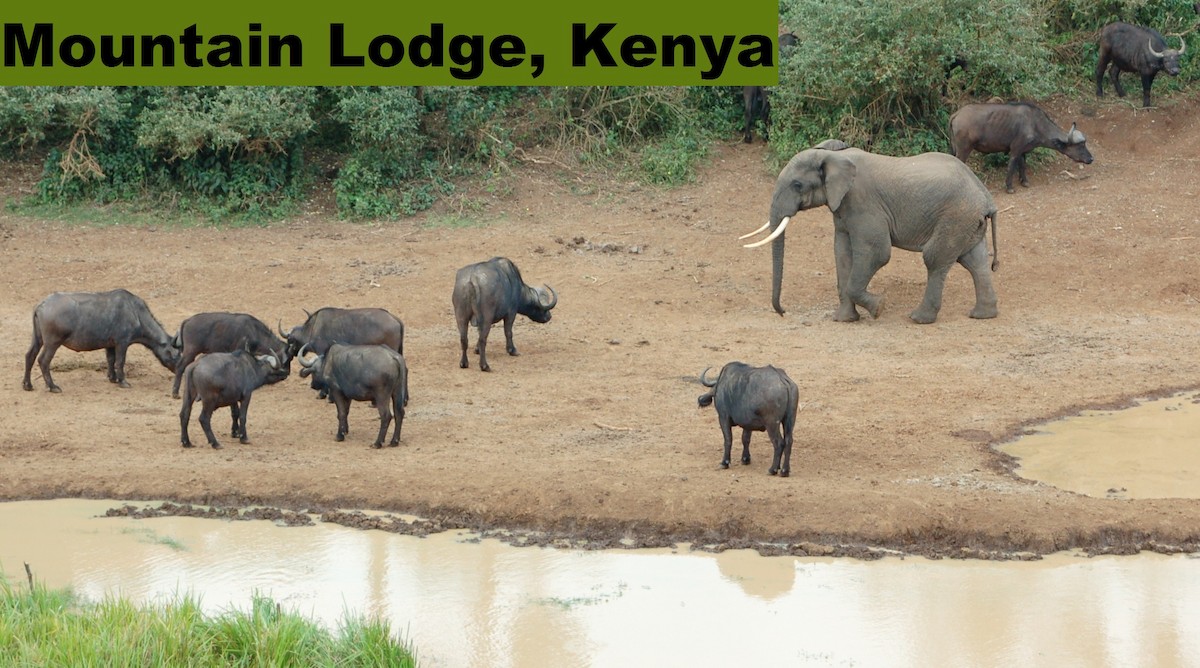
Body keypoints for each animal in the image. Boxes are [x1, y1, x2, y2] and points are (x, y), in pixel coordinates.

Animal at [740, 146, 999, 324]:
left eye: (797, 185)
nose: (783, 312)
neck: (833, 155)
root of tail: (986, 197)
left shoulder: (863, 203)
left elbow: (877, 252)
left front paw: (879, 308)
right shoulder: (843, 209)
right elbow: (842, 254)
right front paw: (844, 320)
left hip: (956, 216)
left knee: (934, 258)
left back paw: (918, 318)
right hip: (967, 221)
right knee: (975, 261)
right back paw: (982, 315)